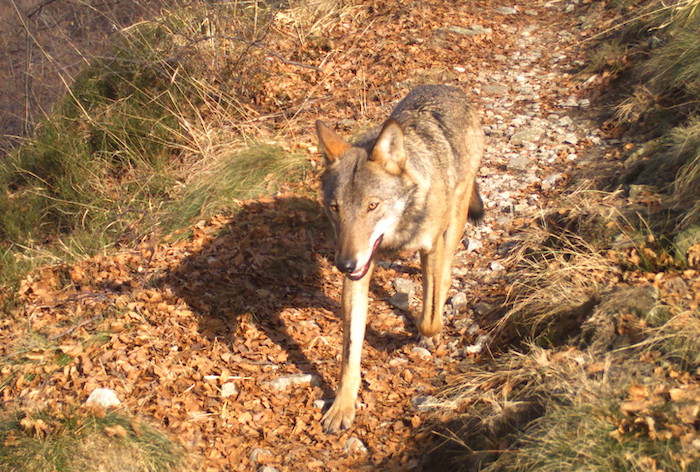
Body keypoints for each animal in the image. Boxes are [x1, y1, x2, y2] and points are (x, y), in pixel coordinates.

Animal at [315, 84, 484, 433]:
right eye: (335, 208)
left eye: (373, 205)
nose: (344, 265)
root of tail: (446, 86)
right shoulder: (360, 272)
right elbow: (350, 350)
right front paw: (342, 406)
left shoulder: (430, 247)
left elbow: (430, 318)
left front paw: (426, 331)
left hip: (455, 220)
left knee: (445, 272)